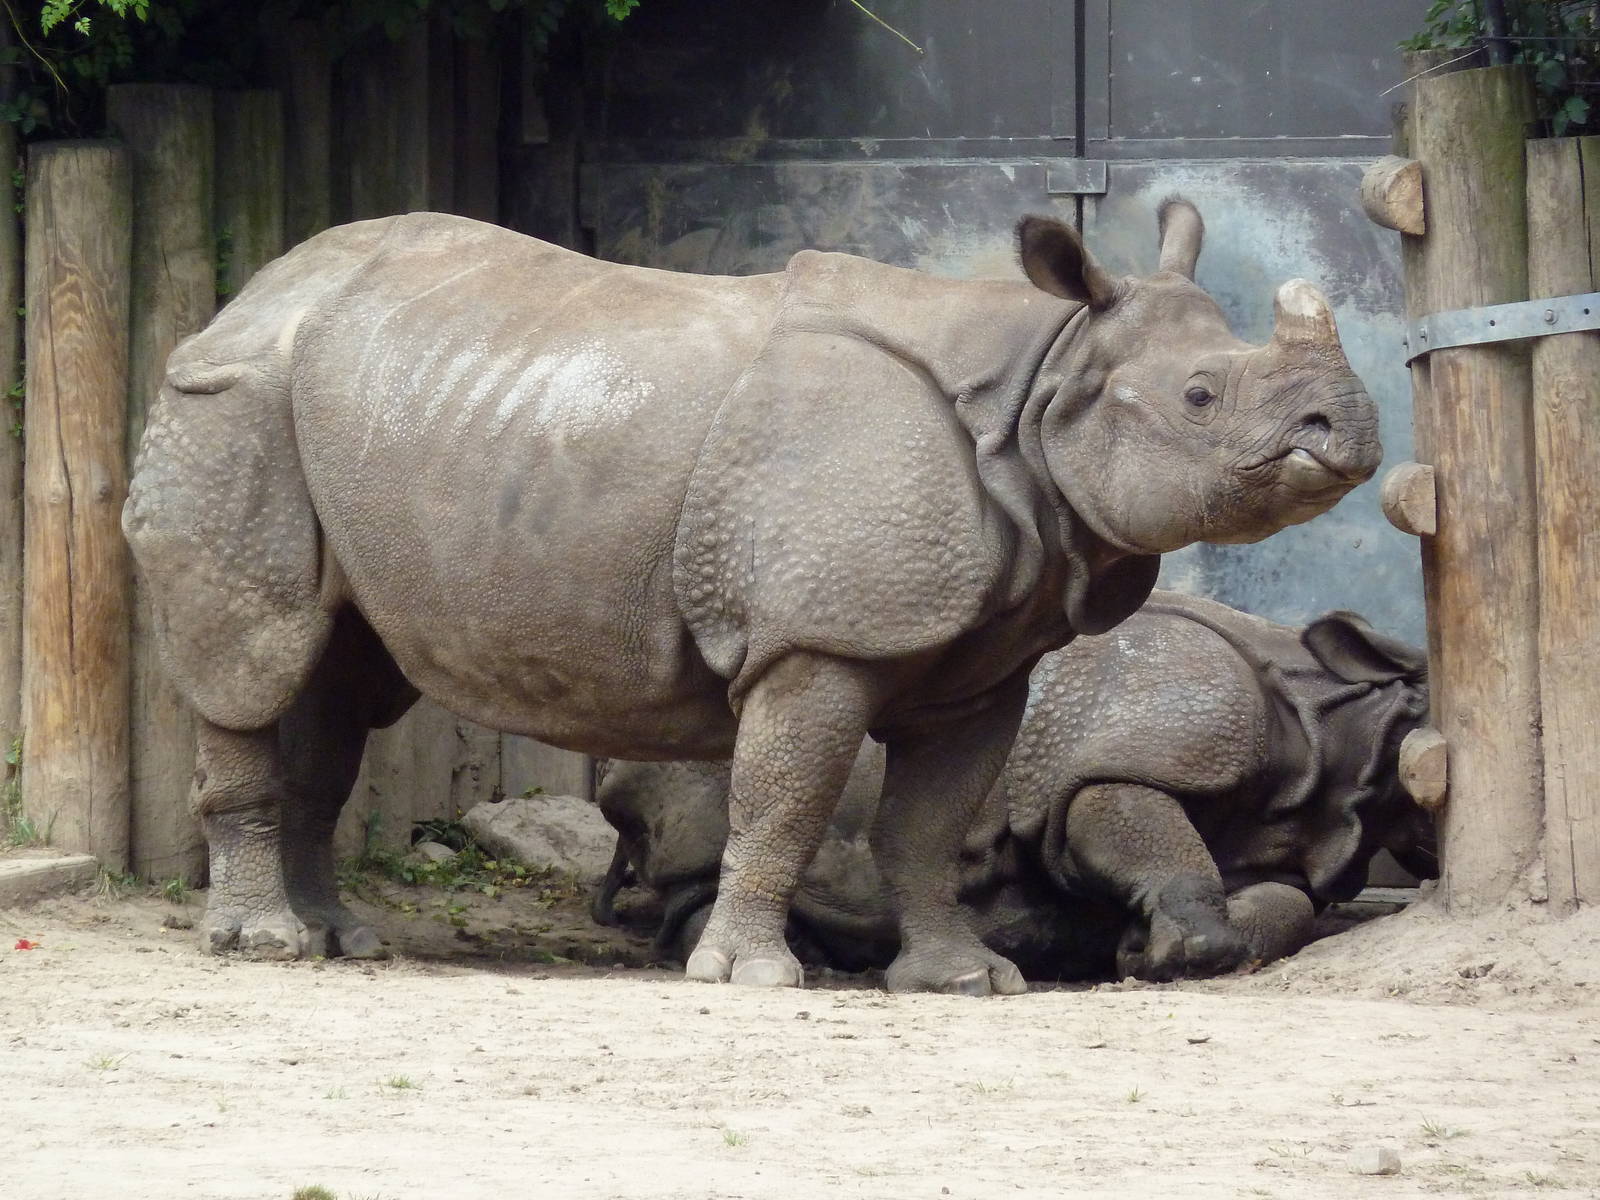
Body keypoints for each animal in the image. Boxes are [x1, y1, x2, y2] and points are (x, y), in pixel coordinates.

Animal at [596, 592, 1434, 982]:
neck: (1336, 728)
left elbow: (1287, 906)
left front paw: (1136, 945)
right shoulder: (1135, 743)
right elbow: (1125, 819)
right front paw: (1169, 953)